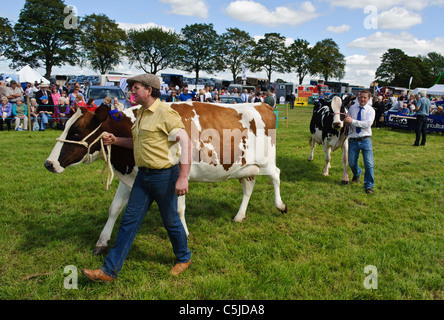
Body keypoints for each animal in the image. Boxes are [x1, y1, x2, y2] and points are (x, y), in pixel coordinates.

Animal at [45, 102, 288, 255]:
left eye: (76, 131)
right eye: (65, 126)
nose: (49, 164)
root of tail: (262, 104)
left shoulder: (178, 175)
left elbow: (178, 209)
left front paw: (185, 234)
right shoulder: (131, 175)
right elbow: (114, 208)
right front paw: (102, 241)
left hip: (266, 160)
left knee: (276, 175)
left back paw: (280, 205)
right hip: (244, 166)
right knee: (248, 186)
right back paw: (239, 216)